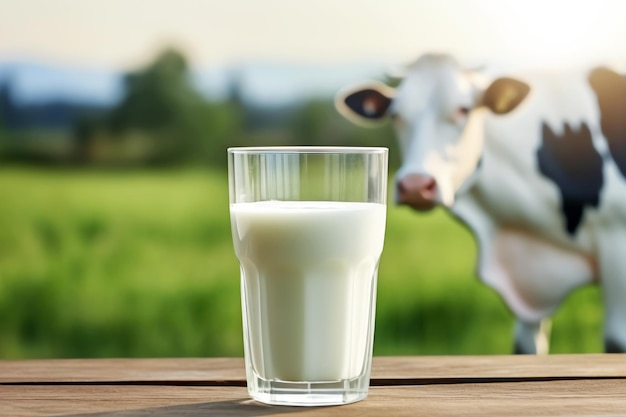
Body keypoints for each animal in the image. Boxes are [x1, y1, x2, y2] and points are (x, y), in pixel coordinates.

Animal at [336, 51, 626, 352]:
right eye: (395, 115)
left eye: (464, 110)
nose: (415, 186)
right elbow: (525, 346)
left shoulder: (617, 238)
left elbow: (616, 340)